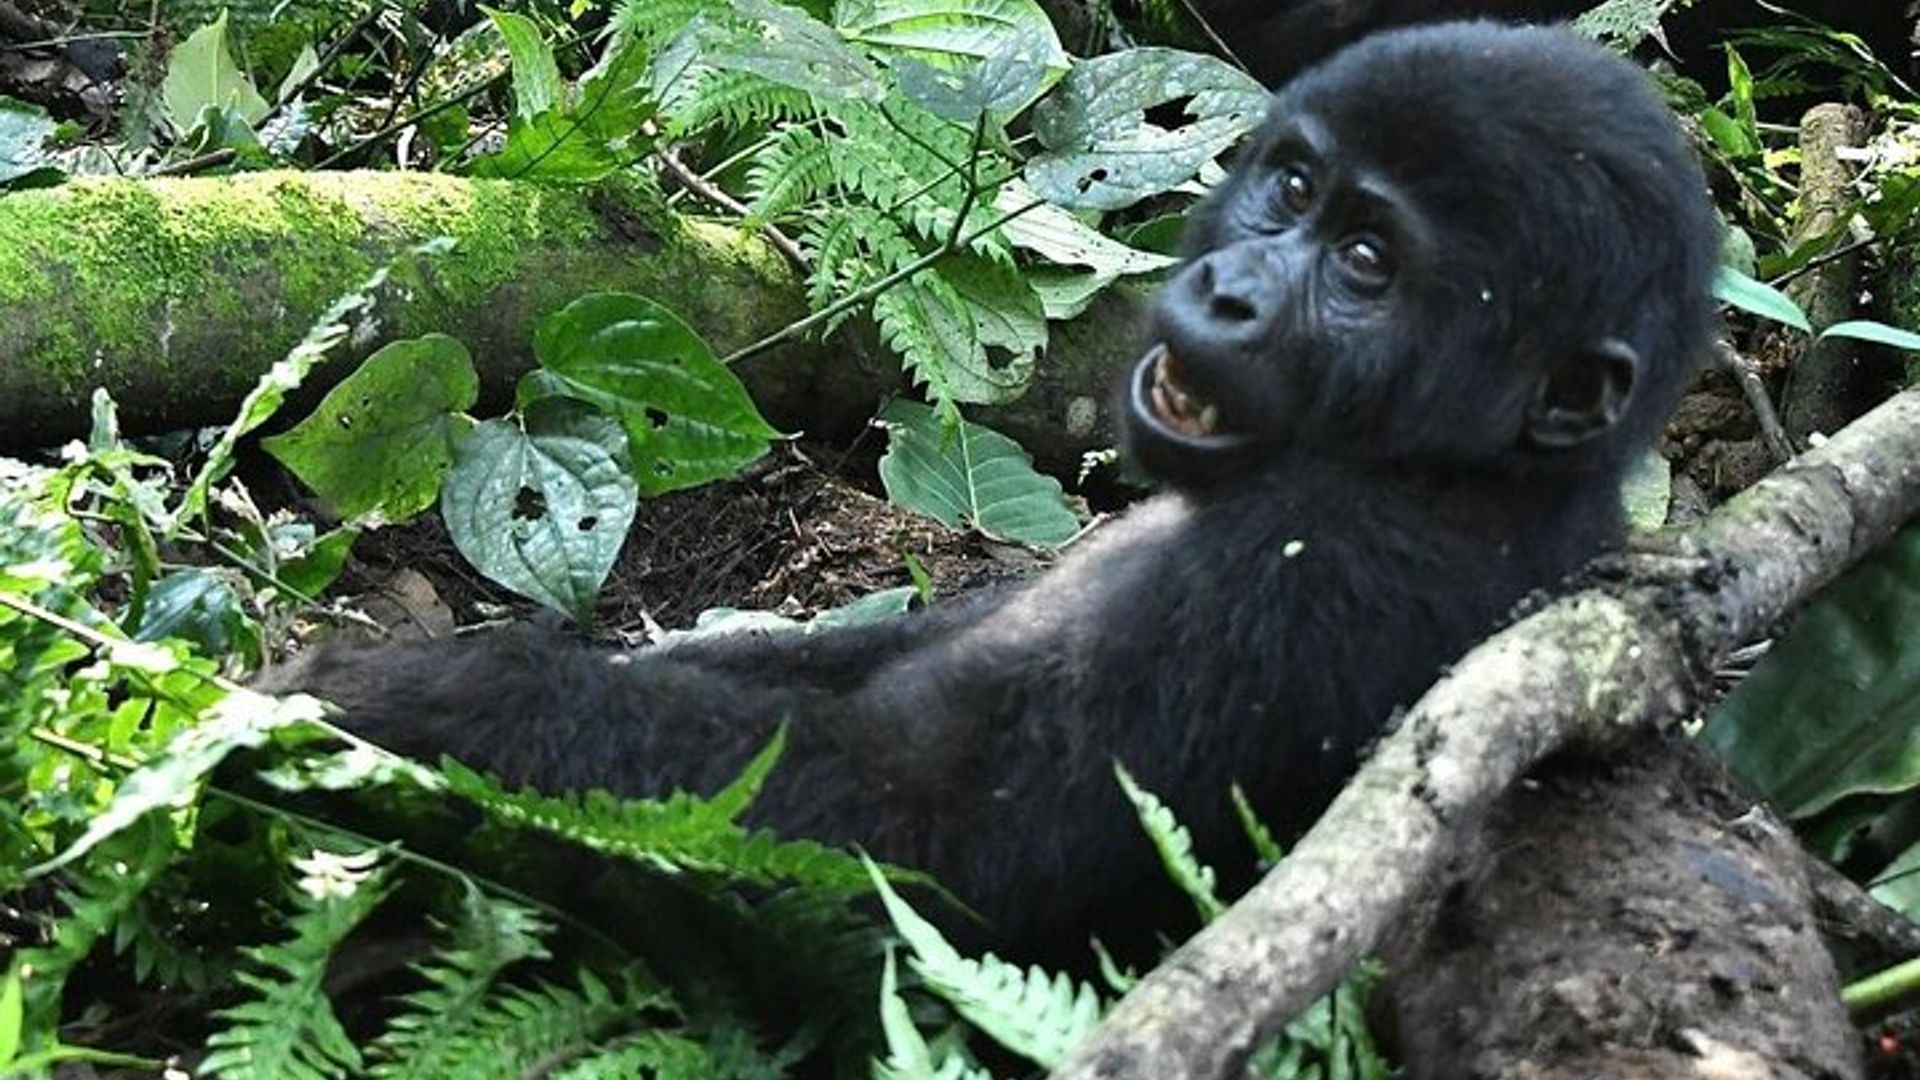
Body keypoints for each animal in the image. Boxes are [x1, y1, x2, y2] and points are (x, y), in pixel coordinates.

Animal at [265, 22, 1721, 960]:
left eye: (1367, 259)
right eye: (1293, 188)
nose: (1227, 294)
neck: (1473, 470)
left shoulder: (1328, 571)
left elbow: (919, 847)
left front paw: (413, 699)